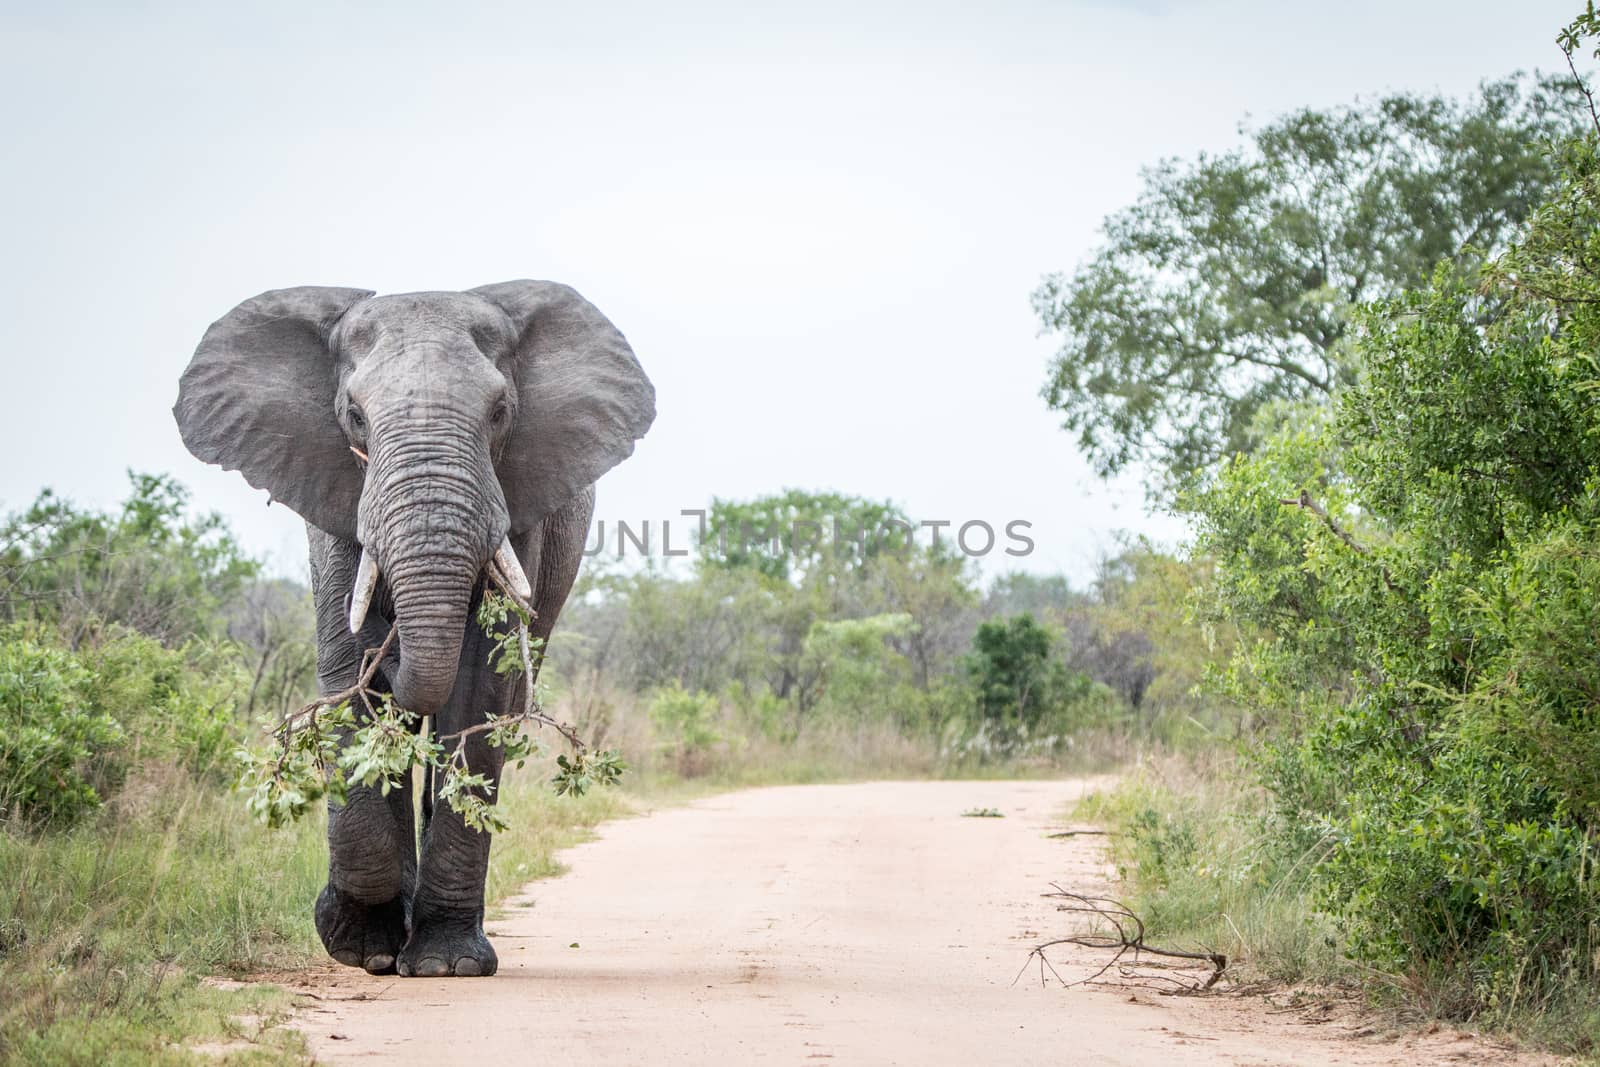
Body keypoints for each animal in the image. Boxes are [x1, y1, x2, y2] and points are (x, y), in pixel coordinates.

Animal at [173, 281, 649, 979]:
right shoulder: (335, 496)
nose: (395, 649)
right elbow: (348, 675)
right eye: (354, 415)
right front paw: (359, 948)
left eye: (501, 412)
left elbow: (478, 690)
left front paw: (443, 966)